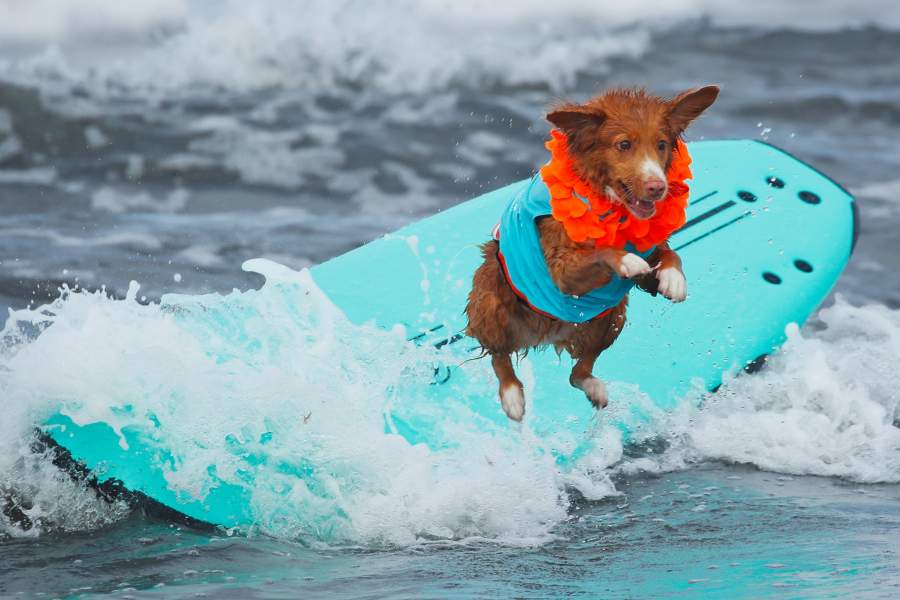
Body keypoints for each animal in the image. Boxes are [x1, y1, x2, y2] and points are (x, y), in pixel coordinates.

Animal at [468, 85, 720, 422]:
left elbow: (670, 256)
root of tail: (544, 336)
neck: (611, 203)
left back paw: (592, 387)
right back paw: (512, 396)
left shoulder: (649, 256)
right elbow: (603, 251)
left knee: (579, 370)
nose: (657, 187)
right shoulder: (560, 271)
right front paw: (626, 260)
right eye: (624, 145)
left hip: (611, 317)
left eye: (661, 144)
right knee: (499, 355)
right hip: (491, 303)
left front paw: (674, 279)